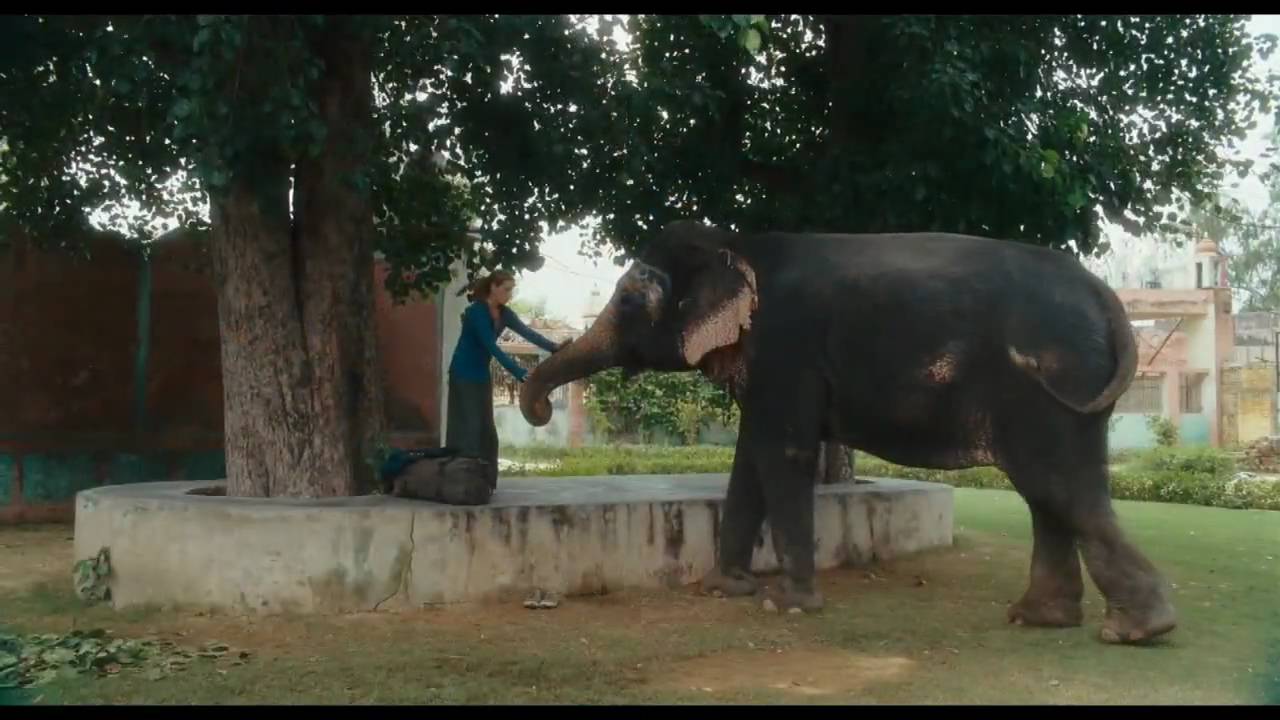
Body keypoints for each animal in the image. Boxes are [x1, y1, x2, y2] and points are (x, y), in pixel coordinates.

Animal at [514, 215, 1172, 640]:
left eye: (630, 299)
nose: (541, 409)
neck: (737, 243)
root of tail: (1106, 296)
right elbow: (750, 457)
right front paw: (725, 589)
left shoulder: (787, 345)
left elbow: (782, 452)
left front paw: (790, 606)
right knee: (1050, 492)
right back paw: (1041, 619)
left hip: (1055, 380)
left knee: (1055, 484)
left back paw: (1136, 630)